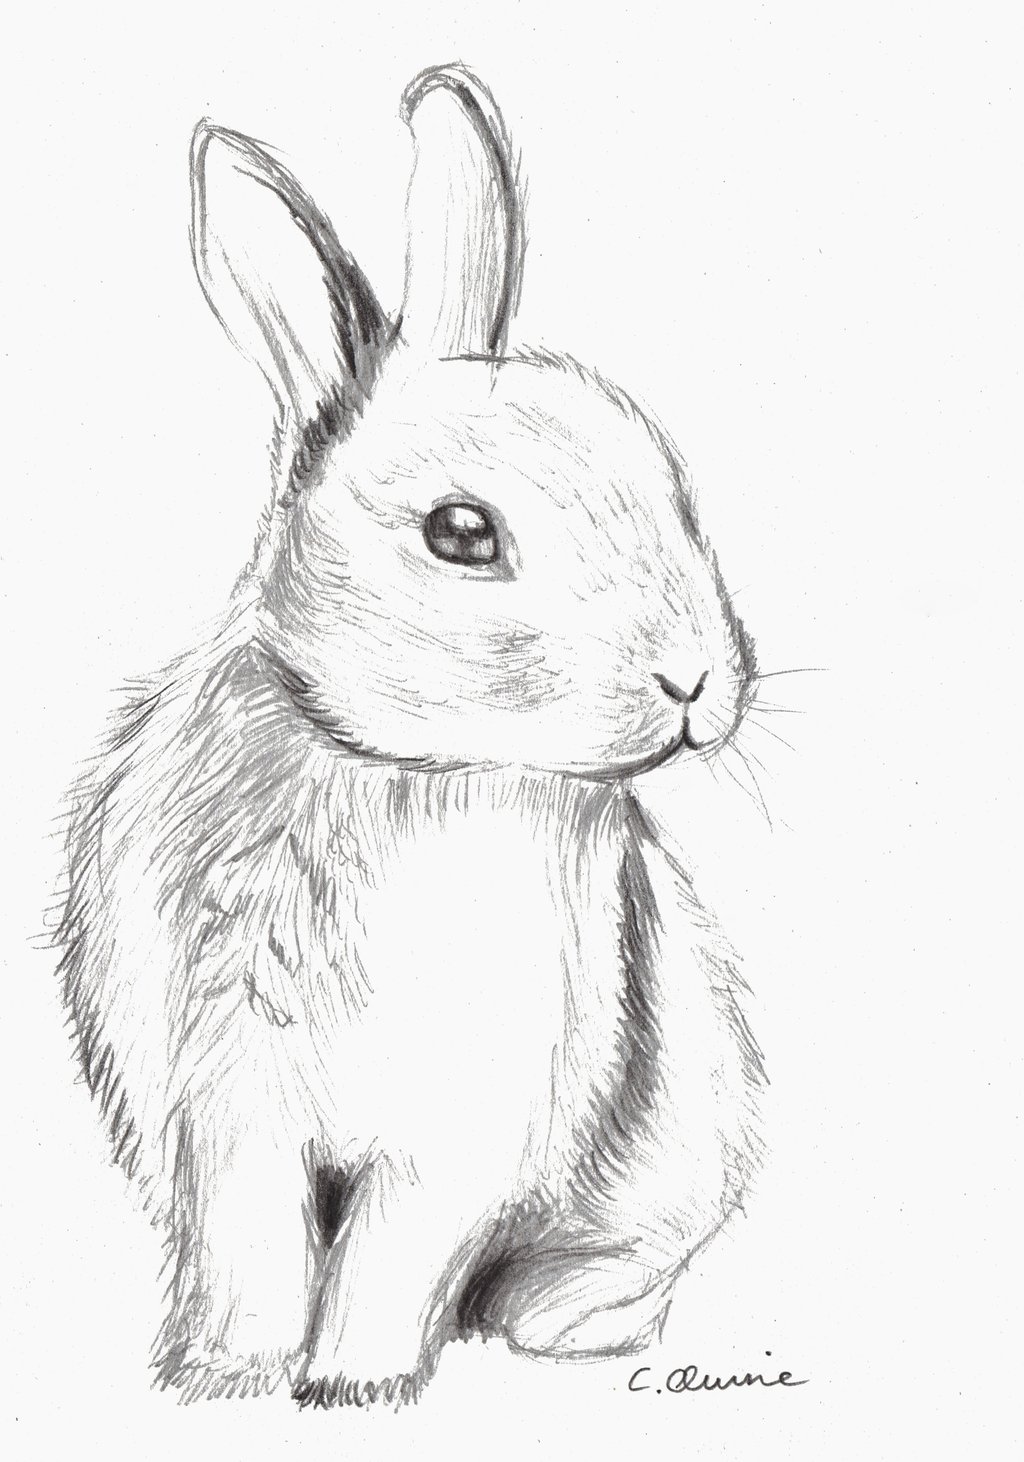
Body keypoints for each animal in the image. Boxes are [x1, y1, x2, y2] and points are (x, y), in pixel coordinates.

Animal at [57, 62, 767, 1408]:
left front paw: (353, 1384)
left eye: (664, 480)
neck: (387, 766)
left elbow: (396, 1247)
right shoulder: (226, 1107)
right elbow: (253, 1241)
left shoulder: (458, 1128)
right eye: (459, 533)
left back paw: (556, 1321)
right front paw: (225, 1373)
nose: (695, 679)